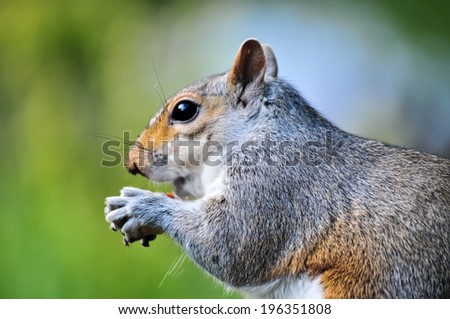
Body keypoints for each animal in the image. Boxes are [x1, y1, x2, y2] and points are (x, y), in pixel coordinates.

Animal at [103, 38, 448, 298]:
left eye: (184, 110)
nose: (132, 162)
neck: (259, 132)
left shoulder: (275, 185)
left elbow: (230, 245)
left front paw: (141, 205)